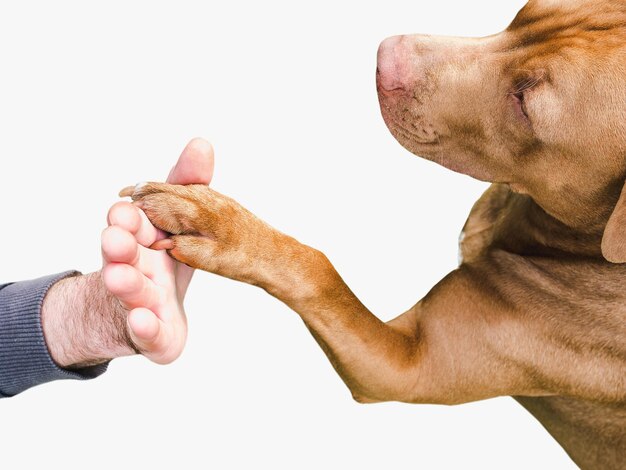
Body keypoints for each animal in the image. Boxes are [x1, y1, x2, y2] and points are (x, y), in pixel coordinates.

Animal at [119, 1, 620, 468]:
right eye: (521, 14)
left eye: (524, 102)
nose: (385, 56)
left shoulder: (403, 365)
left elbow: (317, 268)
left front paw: (221, 225)